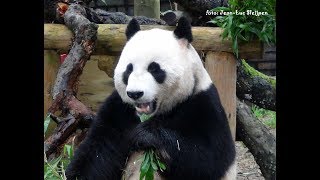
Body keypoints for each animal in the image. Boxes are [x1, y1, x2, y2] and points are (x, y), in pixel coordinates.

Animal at [65, 16, 235, 180]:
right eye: (128, 69)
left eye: (154, 69)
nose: (135, 93)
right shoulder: (119, 110)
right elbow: (99, 151)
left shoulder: (203, 104)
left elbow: (207, 159)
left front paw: (145, 134)